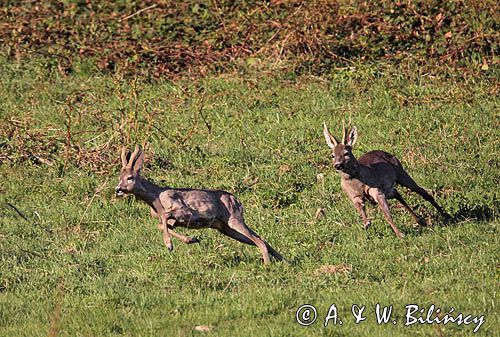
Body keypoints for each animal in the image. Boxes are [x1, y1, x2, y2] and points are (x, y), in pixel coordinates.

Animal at [114, 146, 284, 264]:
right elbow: (161, 225)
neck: (156, 198)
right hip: (226, 228)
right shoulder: (174, 221)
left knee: (259, 241)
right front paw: (192, 239)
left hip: (234, 221)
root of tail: (236, 200)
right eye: (119, 177)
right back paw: (284, 261)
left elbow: (165, 217)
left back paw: (267, 265)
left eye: (130, 177)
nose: (118, 189)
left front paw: (169, 245)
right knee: (260, 238)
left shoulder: (183, 210)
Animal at [322, 122, 452, 238]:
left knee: (422, 192)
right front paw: (367, 223)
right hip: (389, 189)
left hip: (401, 172)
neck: (357, 181)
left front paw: (400, 235)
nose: (337, 165)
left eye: (346, 153)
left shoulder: (376, 190)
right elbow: (362, 212)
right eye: (332, 155)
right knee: (397, 194)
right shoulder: (354, 197)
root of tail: (386, 152)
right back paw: (421, 221)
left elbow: (387, 215)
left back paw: (447, 216)